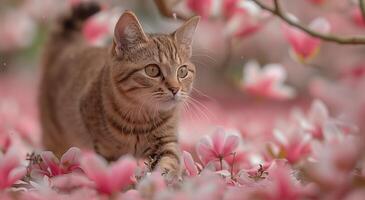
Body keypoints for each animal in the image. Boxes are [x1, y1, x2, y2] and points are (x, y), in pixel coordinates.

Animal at [39, 1, 199, 177]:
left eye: (182, 71)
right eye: (152, 70)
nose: (175, 89)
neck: (141, 118)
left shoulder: (167, 141)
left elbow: (168, 162)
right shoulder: (105, 147)